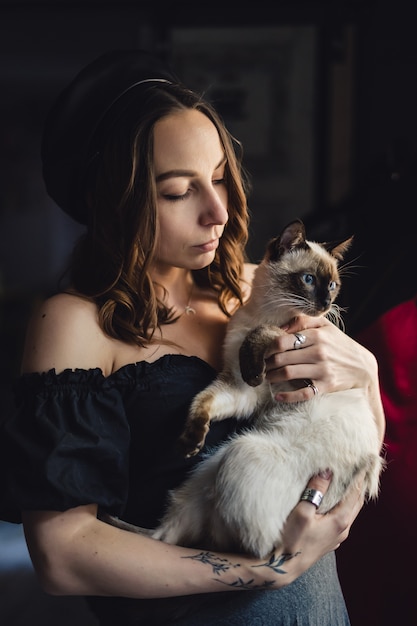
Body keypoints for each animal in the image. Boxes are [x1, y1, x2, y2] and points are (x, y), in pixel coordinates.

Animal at [150, 218, 384, 556]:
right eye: (309, 280)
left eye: (332, 285)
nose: (327, 304)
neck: (263, 310)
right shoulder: (241, 389)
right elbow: (203, 401)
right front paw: (191, 439)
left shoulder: (298, 369)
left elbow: (265, 333)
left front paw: (257, 360)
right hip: (209, 467)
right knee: (178, 533)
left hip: (238, 452)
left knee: (253, 548)